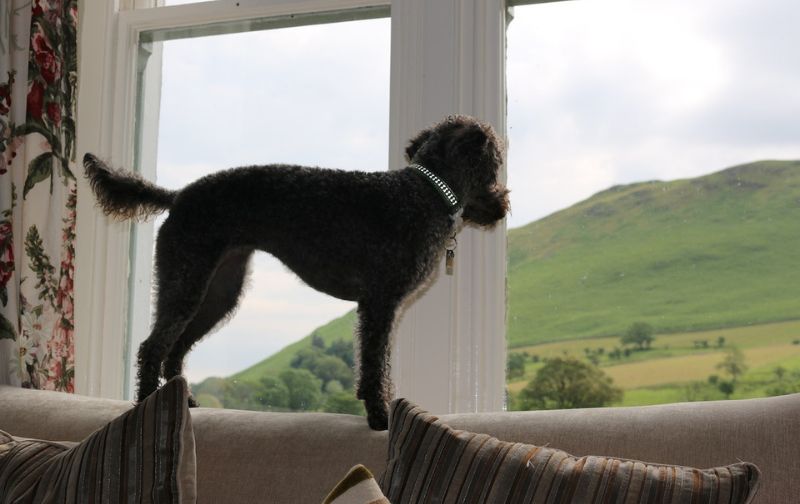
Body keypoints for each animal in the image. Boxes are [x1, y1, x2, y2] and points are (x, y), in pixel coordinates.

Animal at [84, 114, 510, 430]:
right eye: (495, 163)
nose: (503, 206)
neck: (424, 191)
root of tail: (179, 195)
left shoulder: (375, 307)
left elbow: (372, 364)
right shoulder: (380, 303)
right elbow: (376, 364)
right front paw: (379, 416)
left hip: (217, 291)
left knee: (176, 349)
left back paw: (183, 401)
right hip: (185, 280)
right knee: (152, 347)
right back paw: (146, 408)